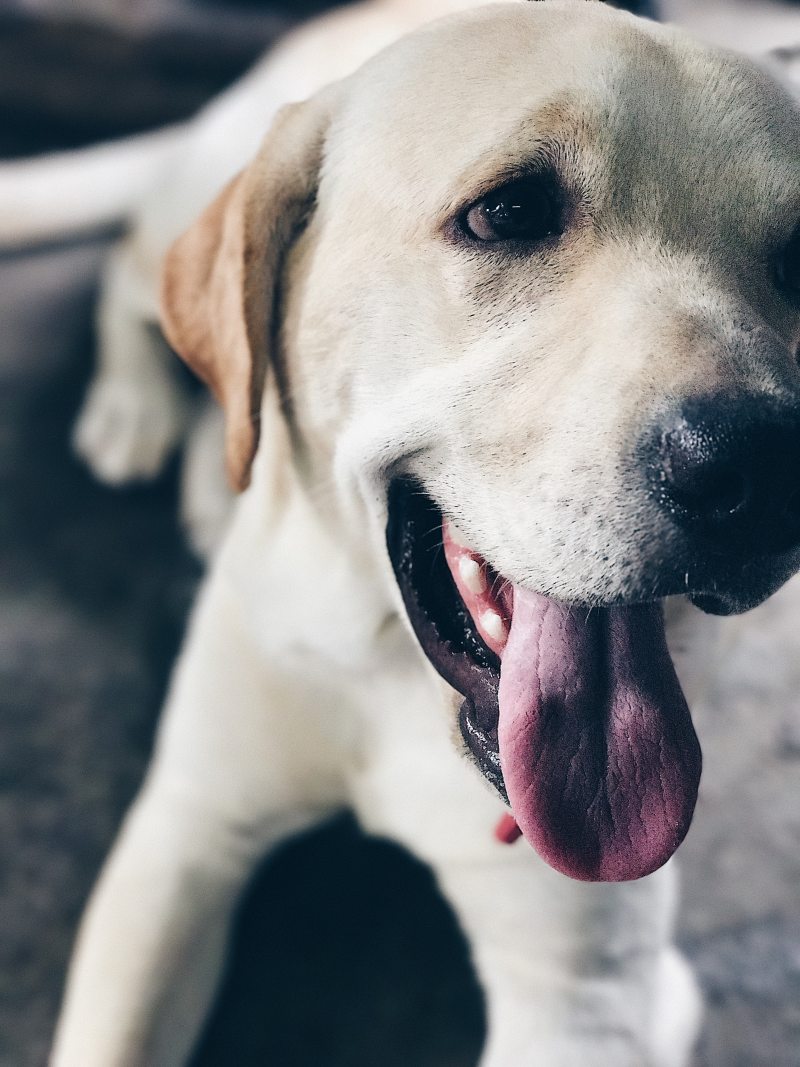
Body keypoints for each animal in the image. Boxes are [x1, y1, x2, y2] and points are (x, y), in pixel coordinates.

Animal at [43, 2, 800, 1067]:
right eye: (510, 213)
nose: (768, 472)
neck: (394, 679)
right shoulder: (185, 828)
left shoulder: (586, 998)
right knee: (134, 281)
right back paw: (131, 410)